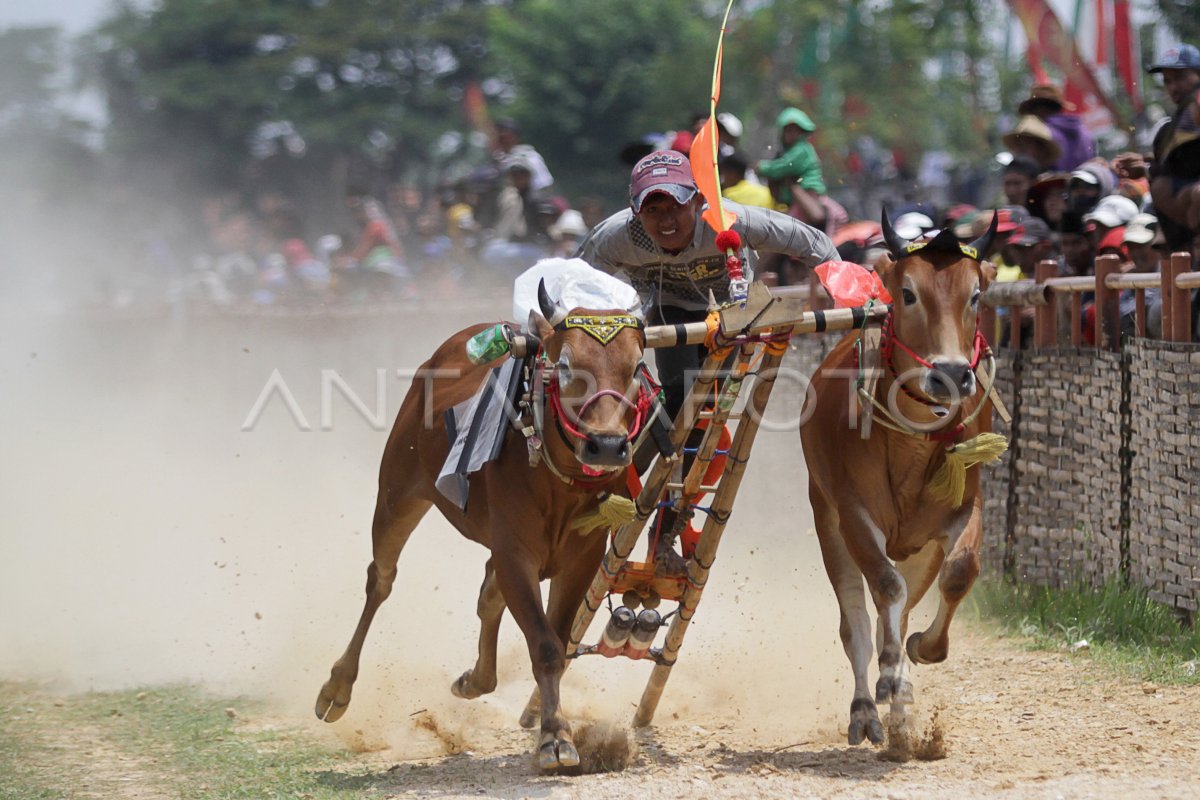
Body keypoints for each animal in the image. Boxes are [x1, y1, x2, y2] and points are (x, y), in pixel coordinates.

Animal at [314, 286, 652, 767]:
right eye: (566, 364)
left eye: (637, 367)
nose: (606, 445)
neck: (557, 482)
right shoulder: (515, 554)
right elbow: (546, 647)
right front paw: (554, 737)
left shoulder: (581, 560)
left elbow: (556, 636)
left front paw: (553, 727)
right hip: (397, 495)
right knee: (381, 580)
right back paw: (337, 689)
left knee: (488, 595)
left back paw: (475, 679)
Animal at [806, 212, 1003, 743]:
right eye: (909, 292)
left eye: (975, 295)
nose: (951, 374)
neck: (912, 443)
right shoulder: (852, 514)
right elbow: (883, 593)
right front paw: (889, 676)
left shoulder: (962, 508)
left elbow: (959, 573)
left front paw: (919, 652)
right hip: (825, 518)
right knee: (856, 622)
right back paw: (867, 711)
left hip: (917, 548)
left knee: (898, 609)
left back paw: (901, 713)